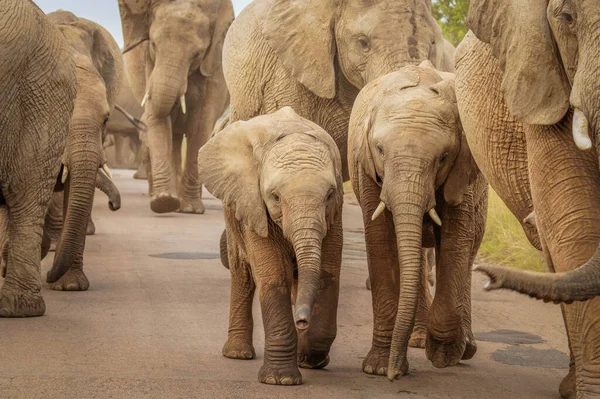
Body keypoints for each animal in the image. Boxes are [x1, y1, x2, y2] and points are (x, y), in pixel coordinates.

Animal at [119, 0, 234, 216]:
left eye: (197, 54)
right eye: (153, 45)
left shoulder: (213, 68)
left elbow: (201, 126)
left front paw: (191, 210)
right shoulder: (150, 65)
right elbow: (158, 119)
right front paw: (163, 203)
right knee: (174, 137)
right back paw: (173, 200)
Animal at [199, 107, 344, 388]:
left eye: (330, 195)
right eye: (275, 197)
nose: (302, 320)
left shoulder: (335, 213)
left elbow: (327, 275)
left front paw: (310, 357)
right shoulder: (253, 206)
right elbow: (275, 277)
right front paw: (281, 380)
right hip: (234, 215)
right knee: (242, 274)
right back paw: (238, 354)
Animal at [346, 61, 488, 378]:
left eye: (444, 156)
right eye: (380, 149)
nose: (395, 375)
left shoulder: (462, 170)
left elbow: (456, 240)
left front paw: (443, 355)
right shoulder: (366, 168)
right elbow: (380, 239)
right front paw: (377, 368)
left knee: (469, 249)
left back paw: (464, 348)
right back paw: (417, 339)